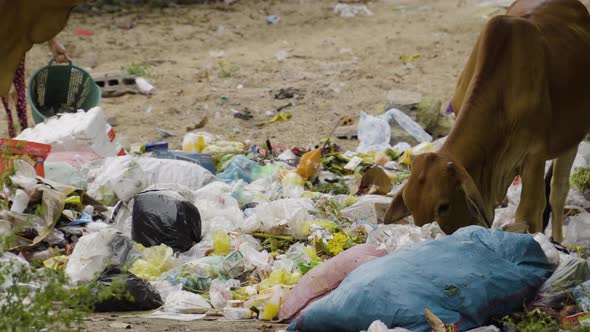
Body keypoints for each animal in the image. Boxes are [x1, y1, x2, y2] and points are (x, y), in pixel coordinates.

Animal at [386, 0, 590, 240]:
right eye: (408, 203)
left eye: (443, 206)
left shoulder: (535, 156)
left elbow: (530, 214)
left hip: (572, 137)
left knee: (558, 192)